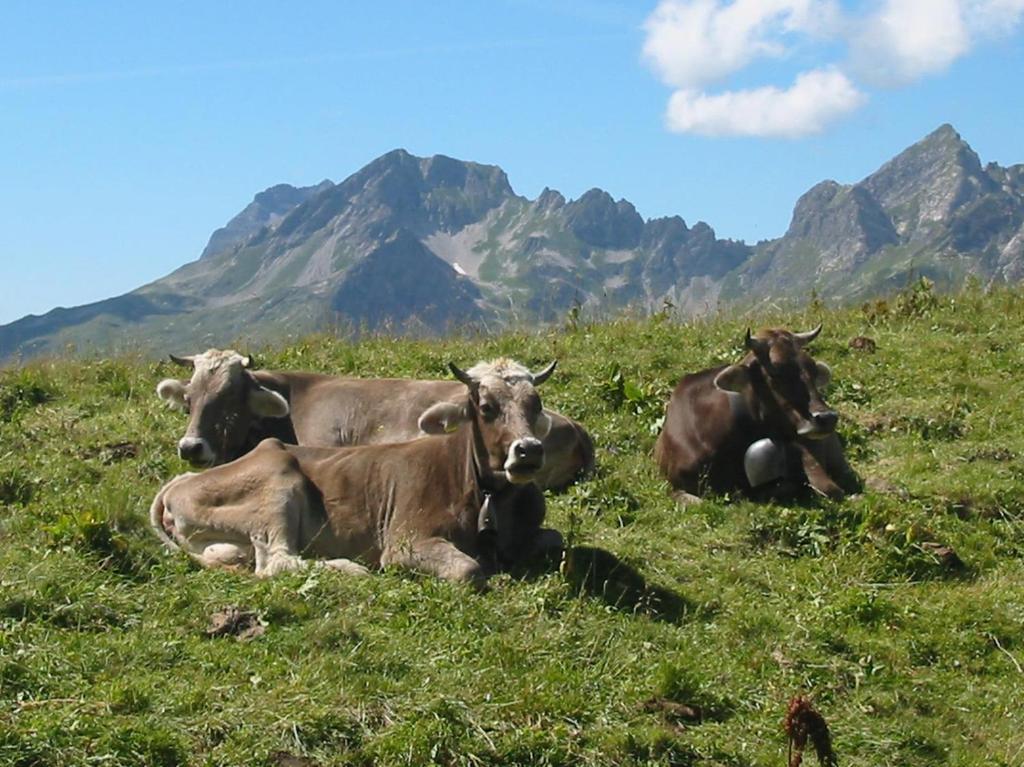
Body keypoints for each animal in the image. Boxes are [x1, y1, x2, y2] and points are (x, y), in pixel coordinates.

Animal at [149, 356, 569, 581]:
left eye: (534, 404)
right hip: (276, 481)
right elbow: (469, 570)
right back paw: (347, 569)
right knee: (276, 562)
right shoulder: (405, 541)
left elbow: (556, 540)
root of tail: (177, 484)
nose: (528, 451)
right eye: (486, 407)